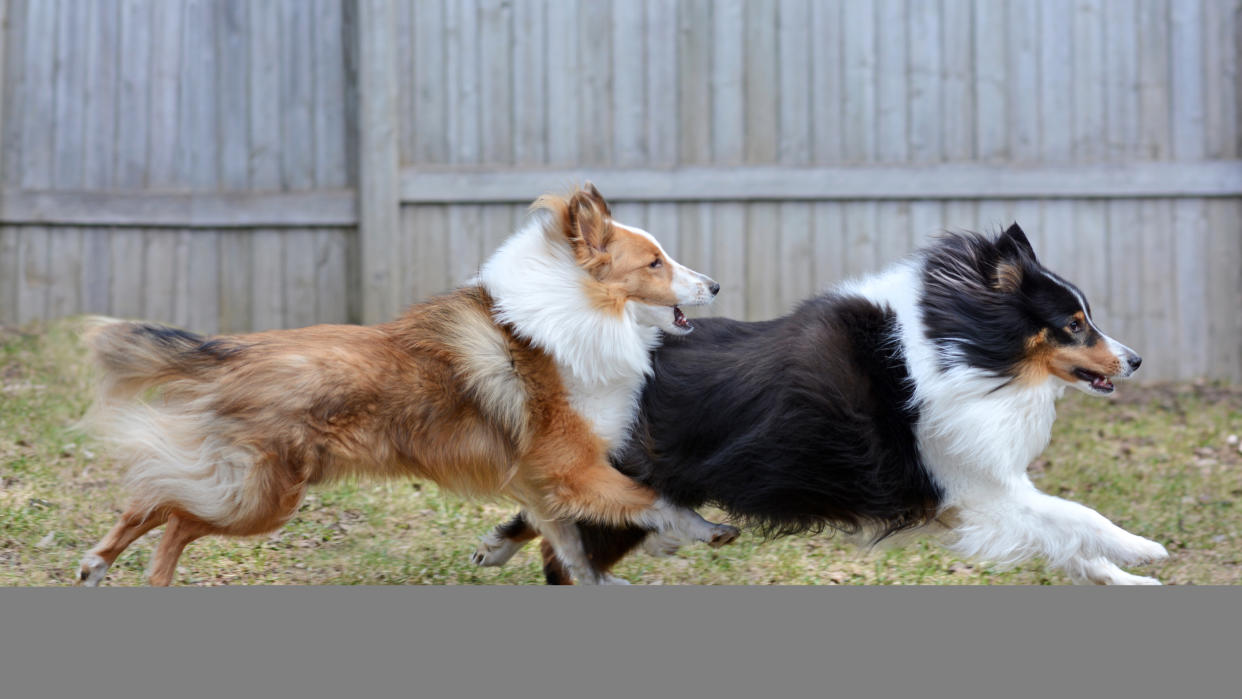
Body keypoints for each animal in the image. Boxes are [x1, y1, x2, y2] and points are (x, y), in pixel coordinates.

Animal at [75, 184, 735, 586]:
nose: (716, 285)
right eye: (653, 263)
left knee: (153, 500)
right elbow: (654, 500)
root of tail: (233, 350)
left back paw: (96, 565)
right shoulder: (573, 470)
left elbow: (570, 544)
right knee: (175, 513)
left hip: (244, 484)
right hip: (263, 497)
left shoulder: (540, 482)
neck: (579, 310)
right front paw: (707, 530)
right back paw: (147, 575)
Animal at [471, 225, 1162, 586]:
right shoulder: (976, 491)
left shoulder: (973, 500)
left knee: (549, 523)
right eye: (1074, 325)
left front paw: (1129, 579)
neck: (956, 348)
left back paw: (494, 549)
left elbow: (1069, 543)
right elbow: (1075, 517)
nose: (1134, 360)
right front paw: (1143, 550)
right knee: (562, 552)